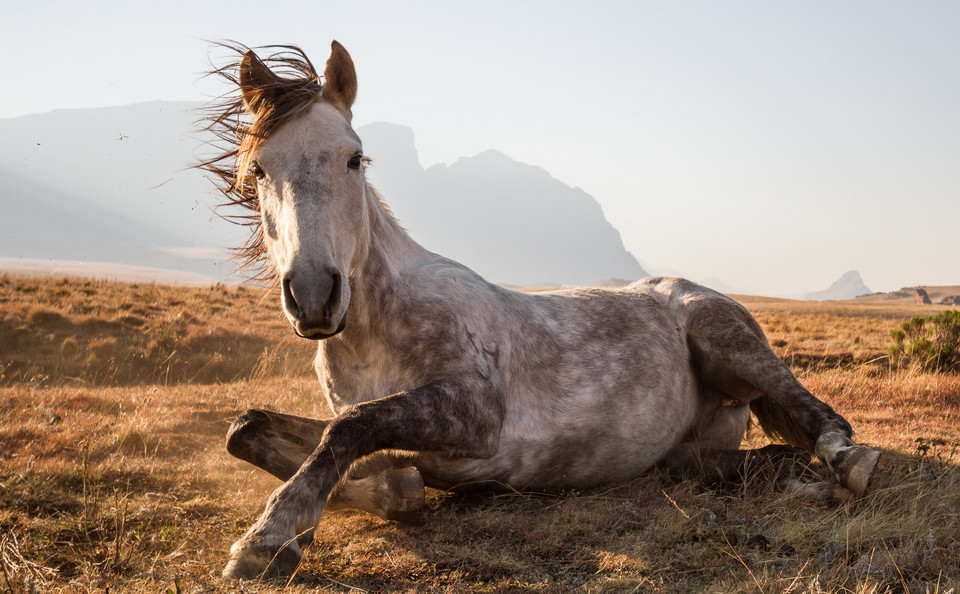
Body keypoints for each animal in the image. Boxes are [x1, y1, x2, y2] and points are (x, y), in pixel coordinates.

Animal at [199, 40, 880, 580]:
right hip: (688, 447)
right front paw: (389, 490)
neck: (376, 328)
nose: (315, 293)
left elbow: (349, 427)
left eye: (354, 158)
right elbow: (252, 428)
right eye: (258, 169)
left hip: (728, 339)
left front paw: (269, 538)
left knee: (819, 416)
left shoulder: (474, 413)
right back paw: (784, 472)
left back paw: (846, 462)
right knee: (723, 462)